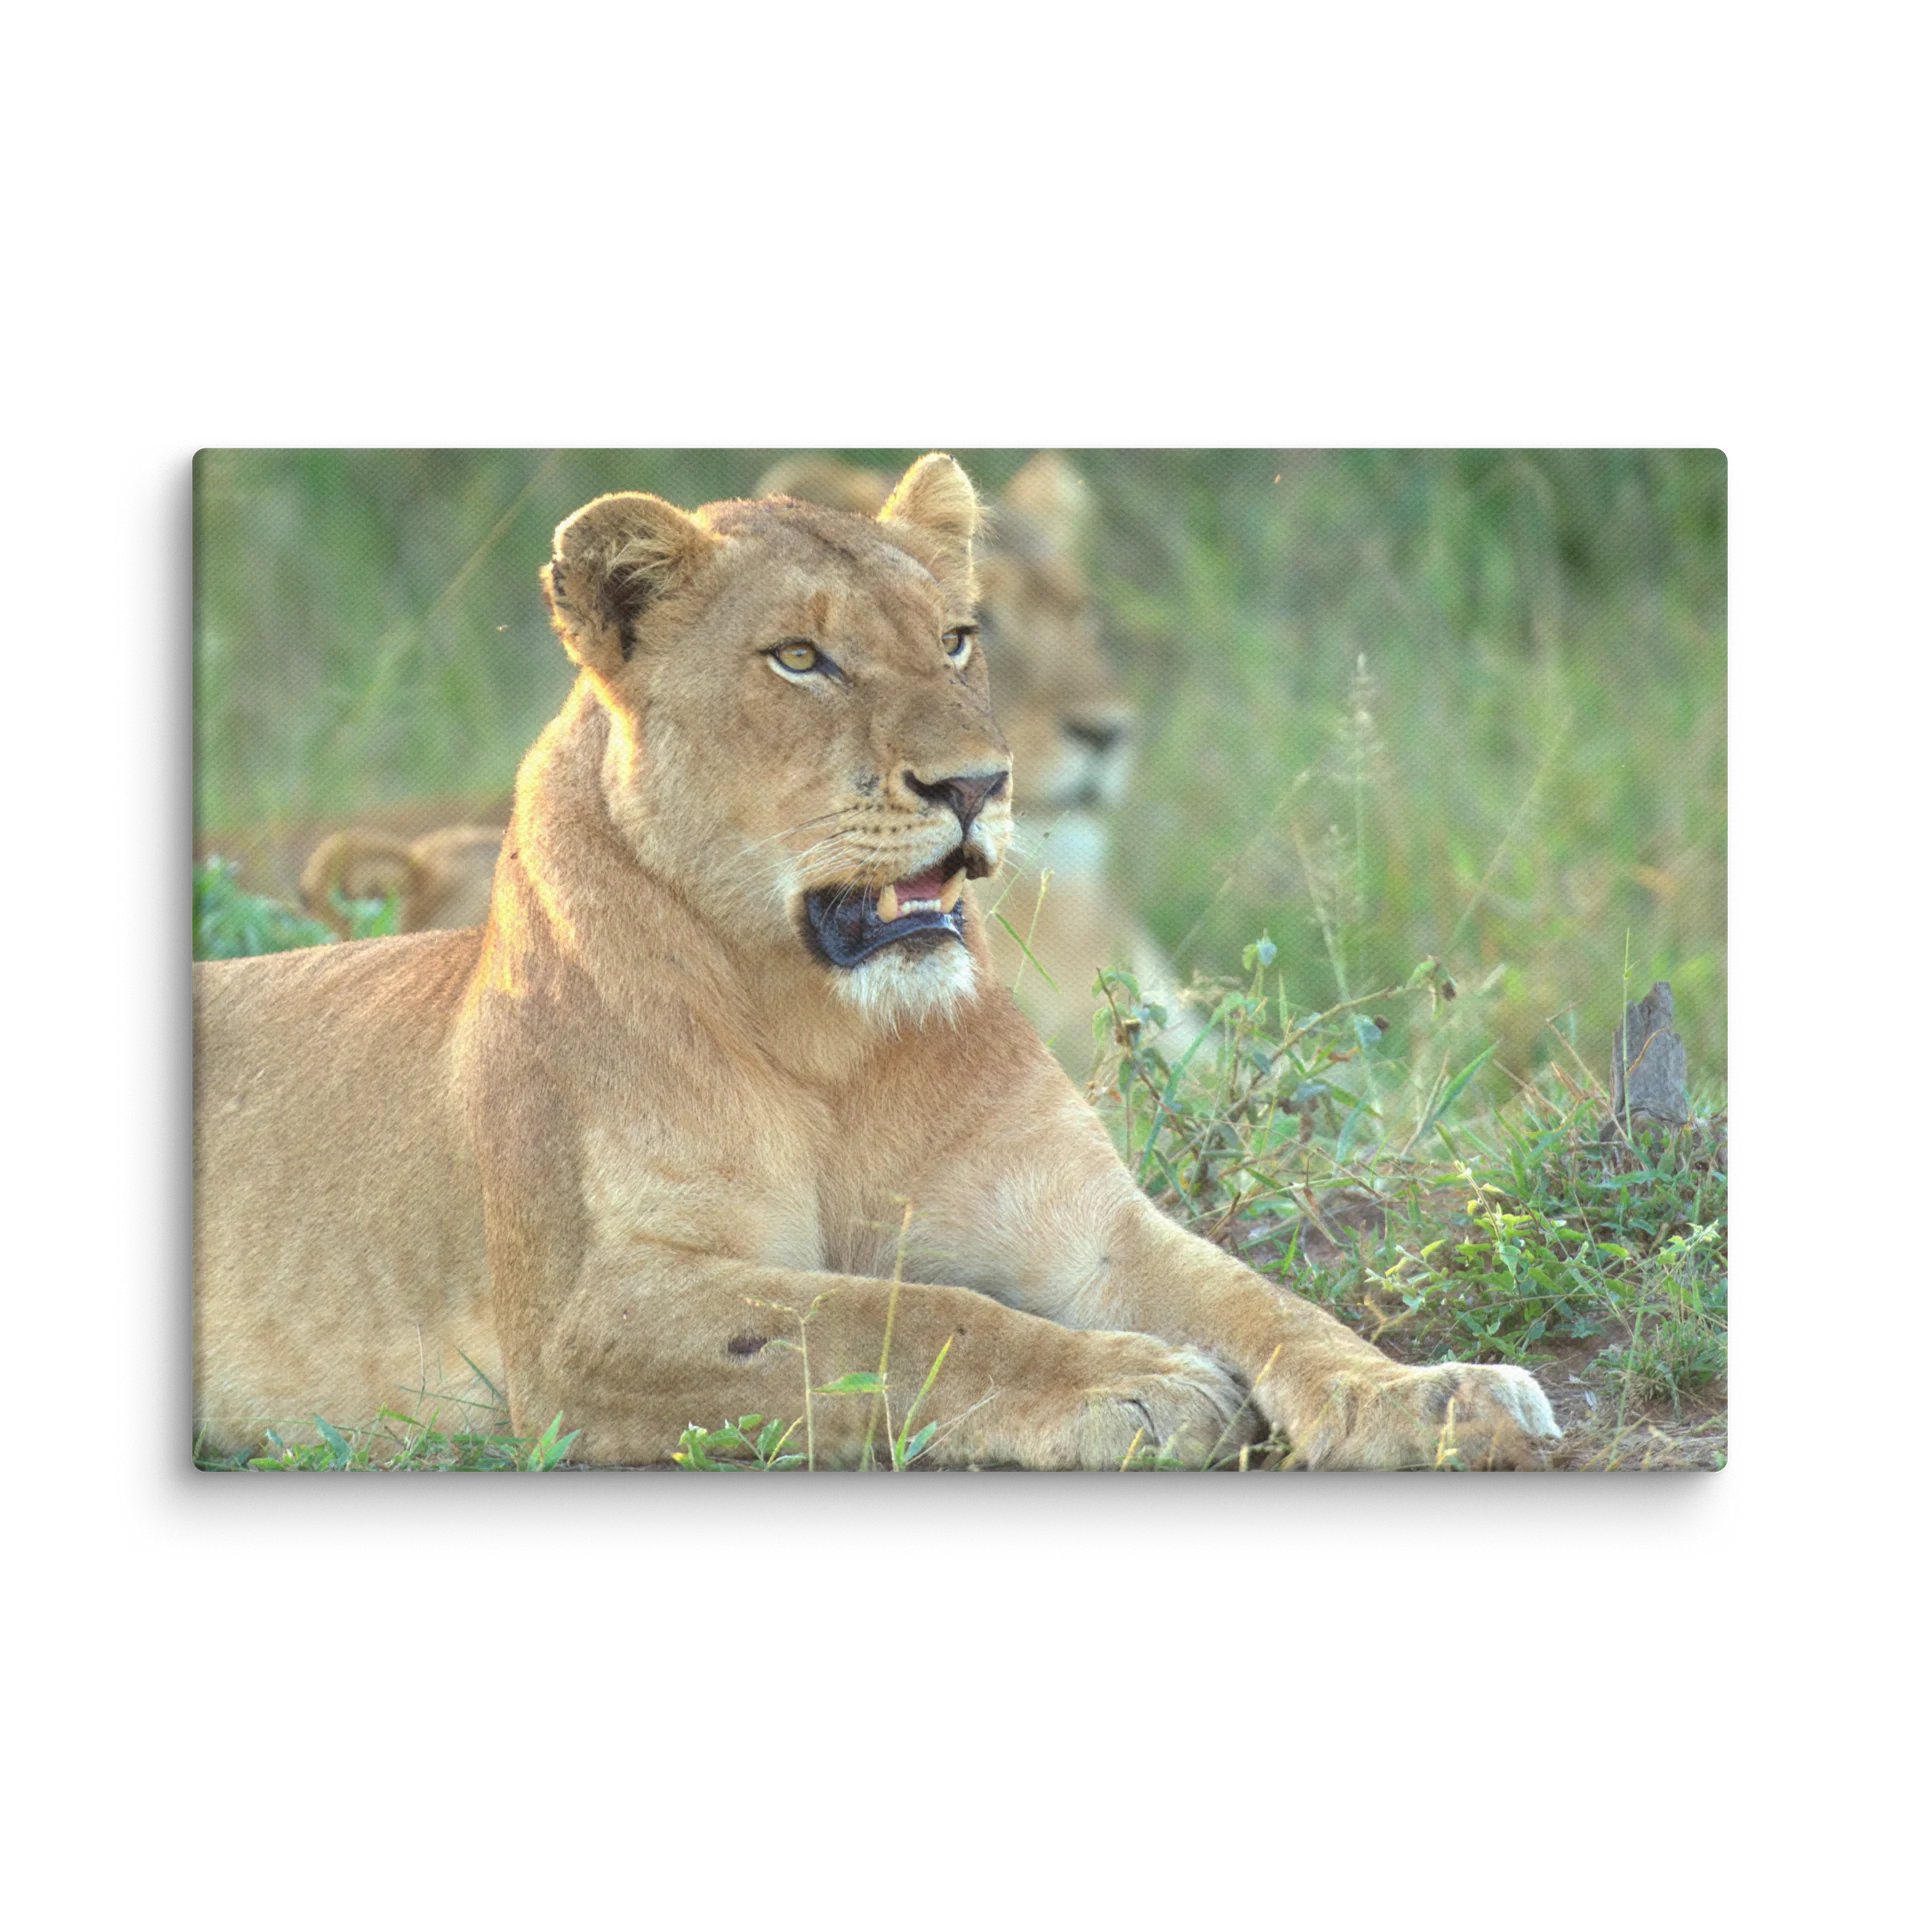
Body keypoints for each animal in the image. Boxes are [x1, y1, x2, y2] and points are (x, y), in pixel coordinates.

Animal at [194, 454, 1561, 1469]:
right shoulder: (583, 1322)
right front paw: (1135, 1387)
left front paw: (1434, 1399)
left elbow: (1269, 1304)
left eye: (957, 640)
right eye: (801, 659)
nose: (978, 785)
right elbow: (896, 1317)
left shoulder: (1088, 1229)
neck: (830, 1035)